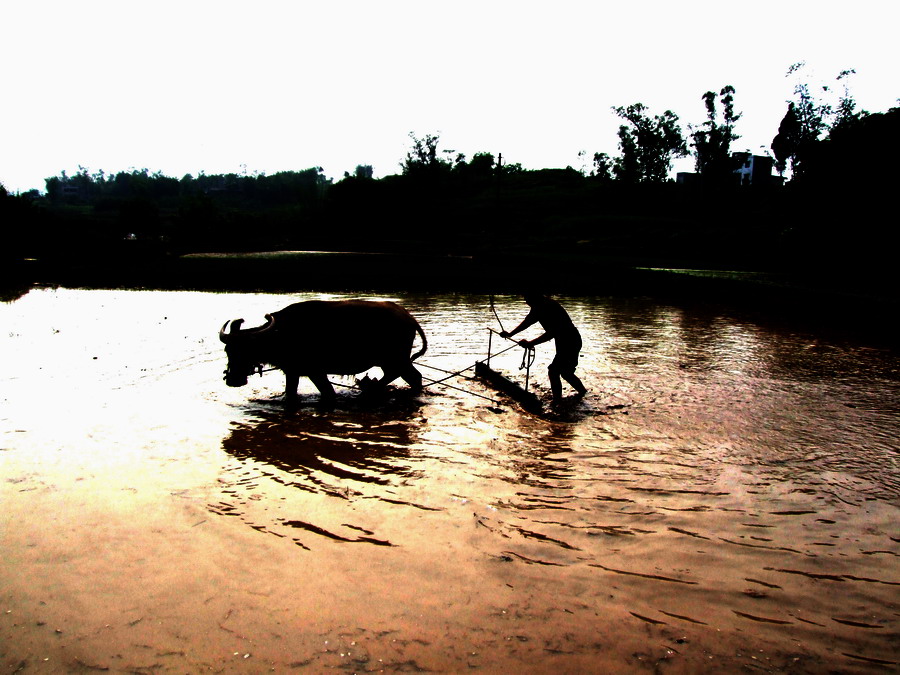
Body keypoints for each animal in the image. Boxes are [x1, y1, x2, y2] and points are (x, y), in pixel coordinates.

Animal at [220, 298, 428, 404]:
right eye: (228, 351)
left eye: (245, 350)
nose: (232, 380)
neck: (280, 333)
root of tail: (408, 317)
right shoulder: (292, 372)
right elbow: (291, 393)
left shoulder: (316, 371)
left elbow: (328, 392)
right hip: (391, 361)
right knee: (402, 376)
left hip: (396, 359)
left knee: (410, 376)